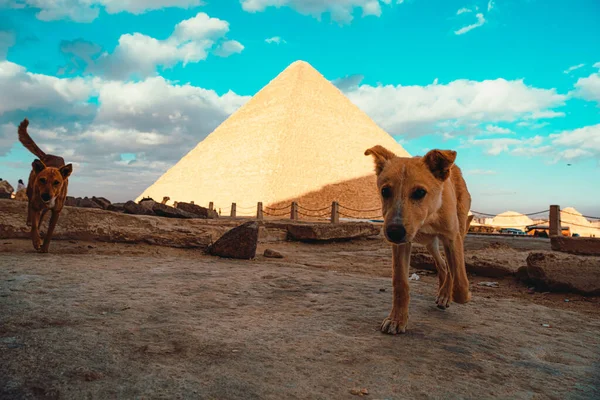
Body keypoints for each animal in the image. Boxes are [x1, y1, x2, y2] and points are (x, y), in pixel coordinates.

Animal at [18, 117, 72, 253]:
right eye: (42, 180)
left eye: (57, 183)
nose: (46, 196)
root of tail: (47, 155)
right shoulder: (36, 204)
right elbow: (34, 226)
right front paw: (37, 242)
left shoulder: (56, 212)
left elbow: (50, 232)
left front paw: (45, 247)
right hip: (30, 190)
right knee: (30, 207)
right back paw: (30, 221)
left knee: (42, 214)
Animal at [366, 146, 474, 334]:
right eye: (385, 191)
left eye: (420, 192)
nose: (394, 232)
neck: (428, 216)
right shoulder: (401, 244)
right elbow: (400, 283)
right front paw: (397, 319)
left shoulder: (452, 237)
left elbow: (460, 281)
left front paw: (463, 294)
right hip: (430, 243)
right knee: (443, 265)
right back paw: (443, 291)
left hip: (457, 230)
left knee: (450, 268)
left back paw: (445, 294)